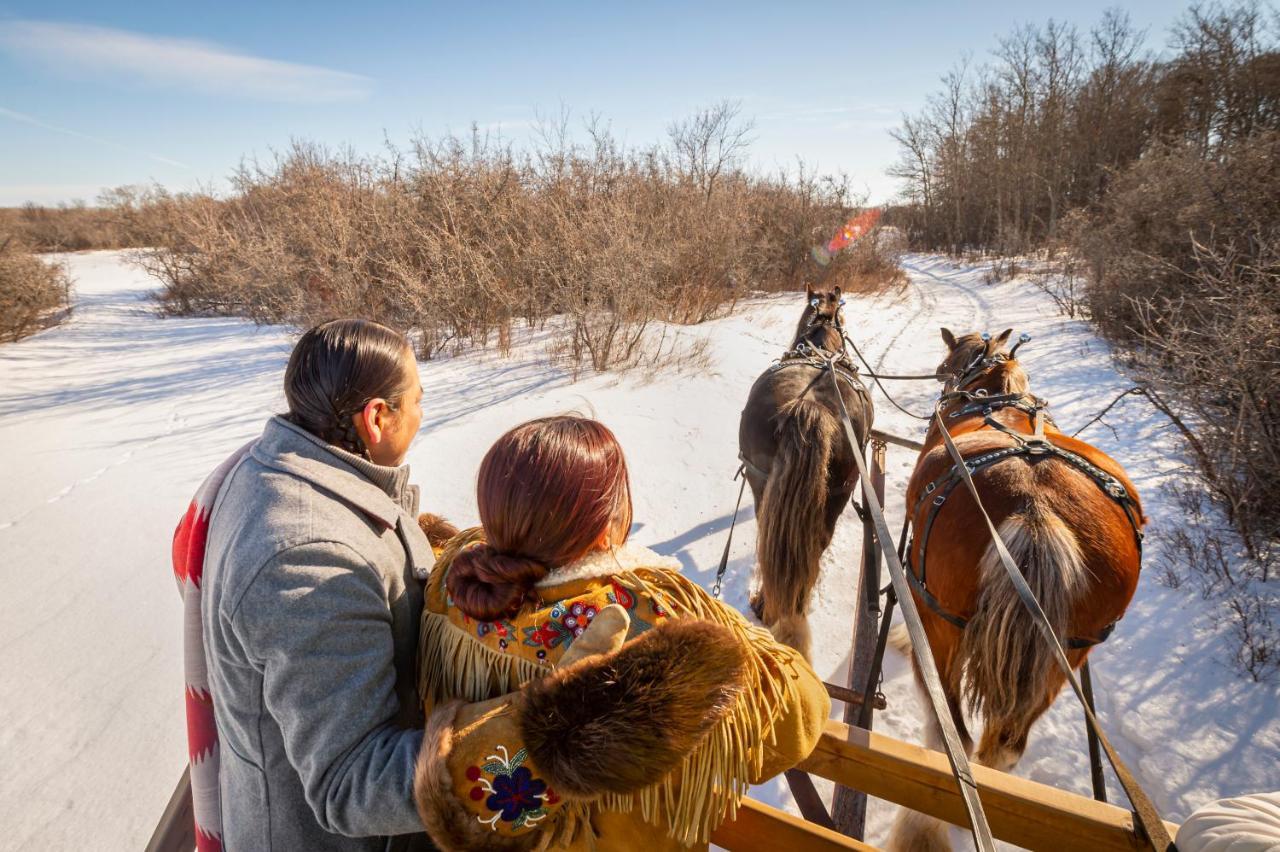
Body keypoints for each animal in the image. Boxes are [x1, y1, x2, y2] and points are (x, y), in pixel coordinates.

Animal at [890, 326, 1152, 849]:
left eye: (951, 360)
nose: (942, 377)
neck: (996, 397)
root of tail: (1035, 508)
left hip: (943, 621)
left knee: (952, 728)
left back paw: (924, 824)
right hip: (1066, 651)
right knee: (1006, 744)